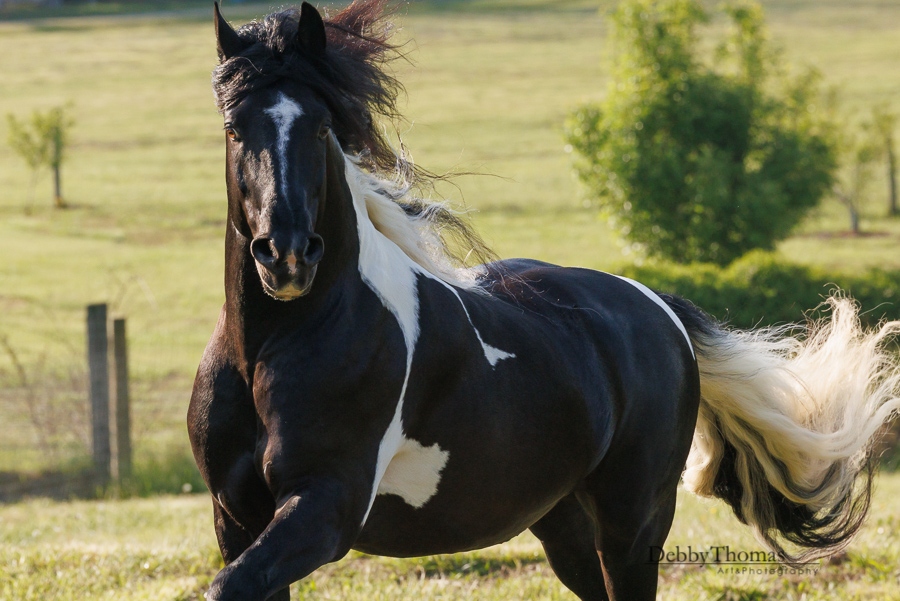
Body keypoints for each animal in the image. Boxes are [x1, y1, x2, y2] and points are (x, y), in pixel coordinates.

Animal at [188, 2, 900, 596]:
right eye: (234, 128)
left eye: (319, 128)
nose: (286, 254)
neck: (274, 347)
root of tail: (658, 308)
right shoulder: (236, 518)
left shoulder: (326, 508)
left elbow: (226, 587)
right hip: (561, 520)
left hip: (634, 522)